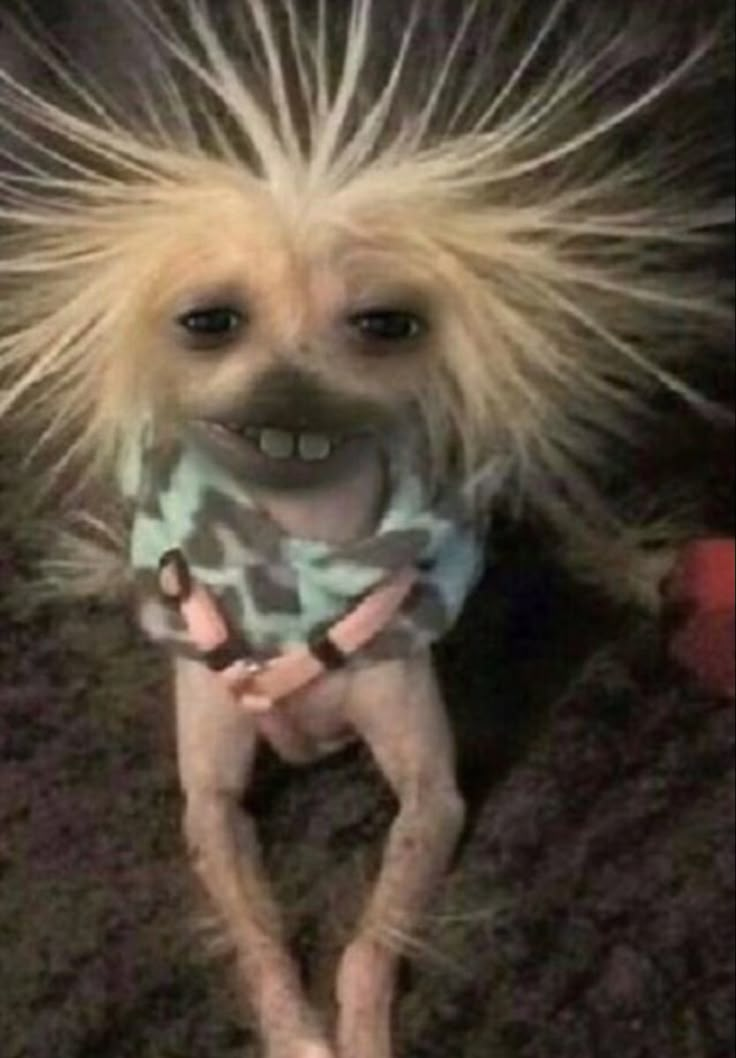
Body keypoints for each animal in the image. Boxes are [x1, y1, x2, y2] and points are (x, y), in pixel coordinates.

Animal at [0, 2, 727, 1058]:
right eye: (208, 321)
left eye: (387, 325)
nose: (290, 383)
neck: (292, 562)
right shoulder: (211, 805)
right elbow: (260, 937)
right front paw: (295, 1030)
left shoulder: (433, 797)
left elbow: (369, 942)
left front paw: (360, 1028)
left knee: (568, 512)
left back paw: (635, 566)